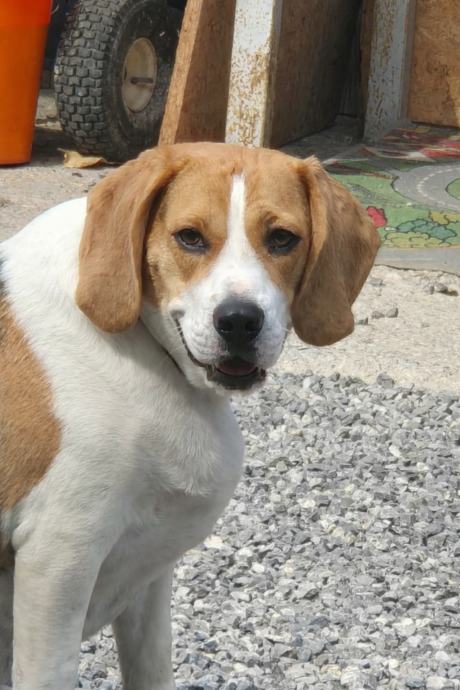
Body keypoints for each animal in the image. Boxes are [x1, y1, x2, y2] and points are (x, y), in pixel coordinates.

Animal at [0, 142, 380, 690]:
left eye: (282, 238)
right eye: (190, 237)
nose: (239, 321)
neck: (144, 346)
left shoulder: (147, 572)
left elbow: (153, 665)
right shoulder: (58, 559)